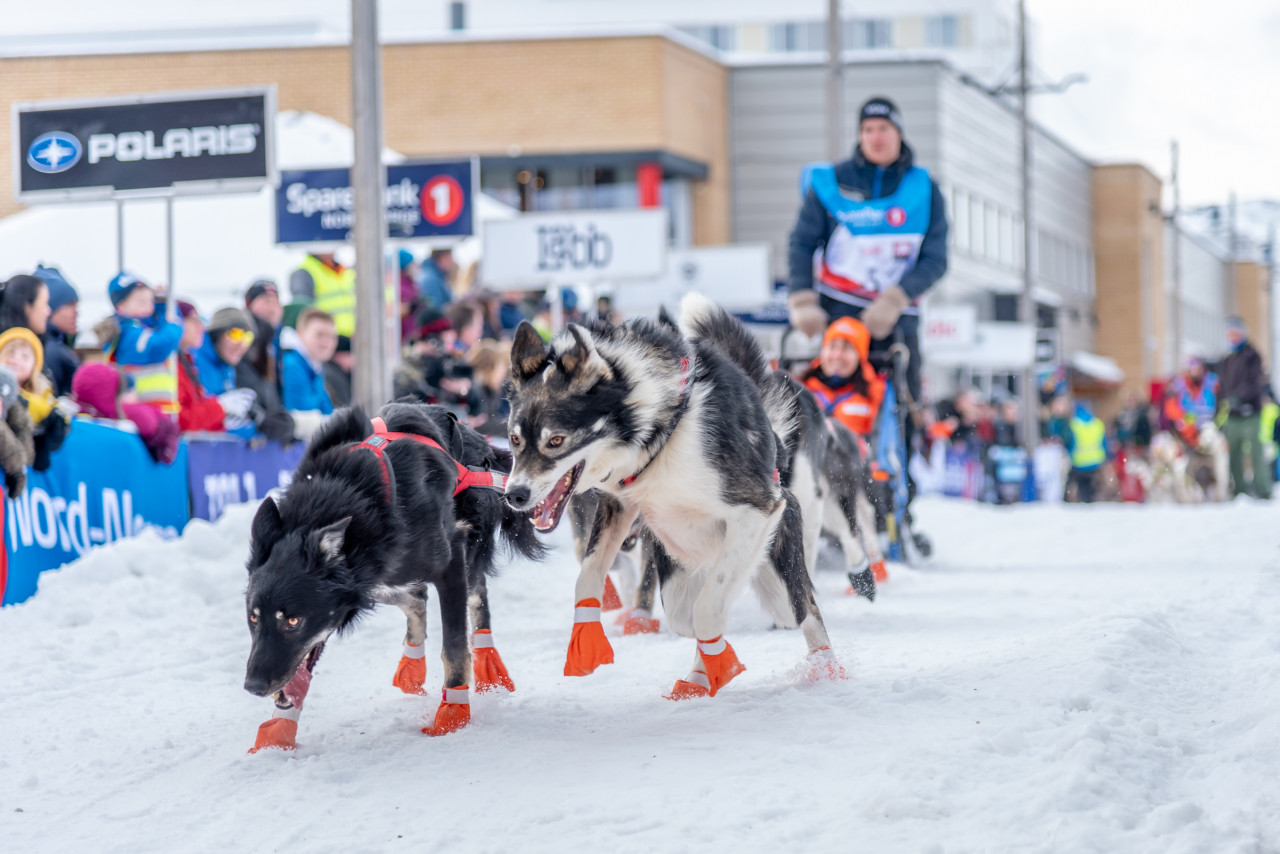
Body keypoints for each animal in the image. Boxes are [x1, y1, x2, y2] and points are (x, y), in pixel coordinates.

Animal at [241, 404, 542, 752]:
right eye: (253, 618)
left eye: (293, 621)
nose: (253, 686)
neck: (350, 496)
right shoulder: (367, 578)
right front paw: (279, 727)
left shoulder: (450, 560)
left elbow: (453, 646)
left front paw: (452, 713)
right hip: (389, 572)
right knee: (416, 597)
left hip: (466, 549)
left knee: (476, 596)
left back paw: (488, 662)